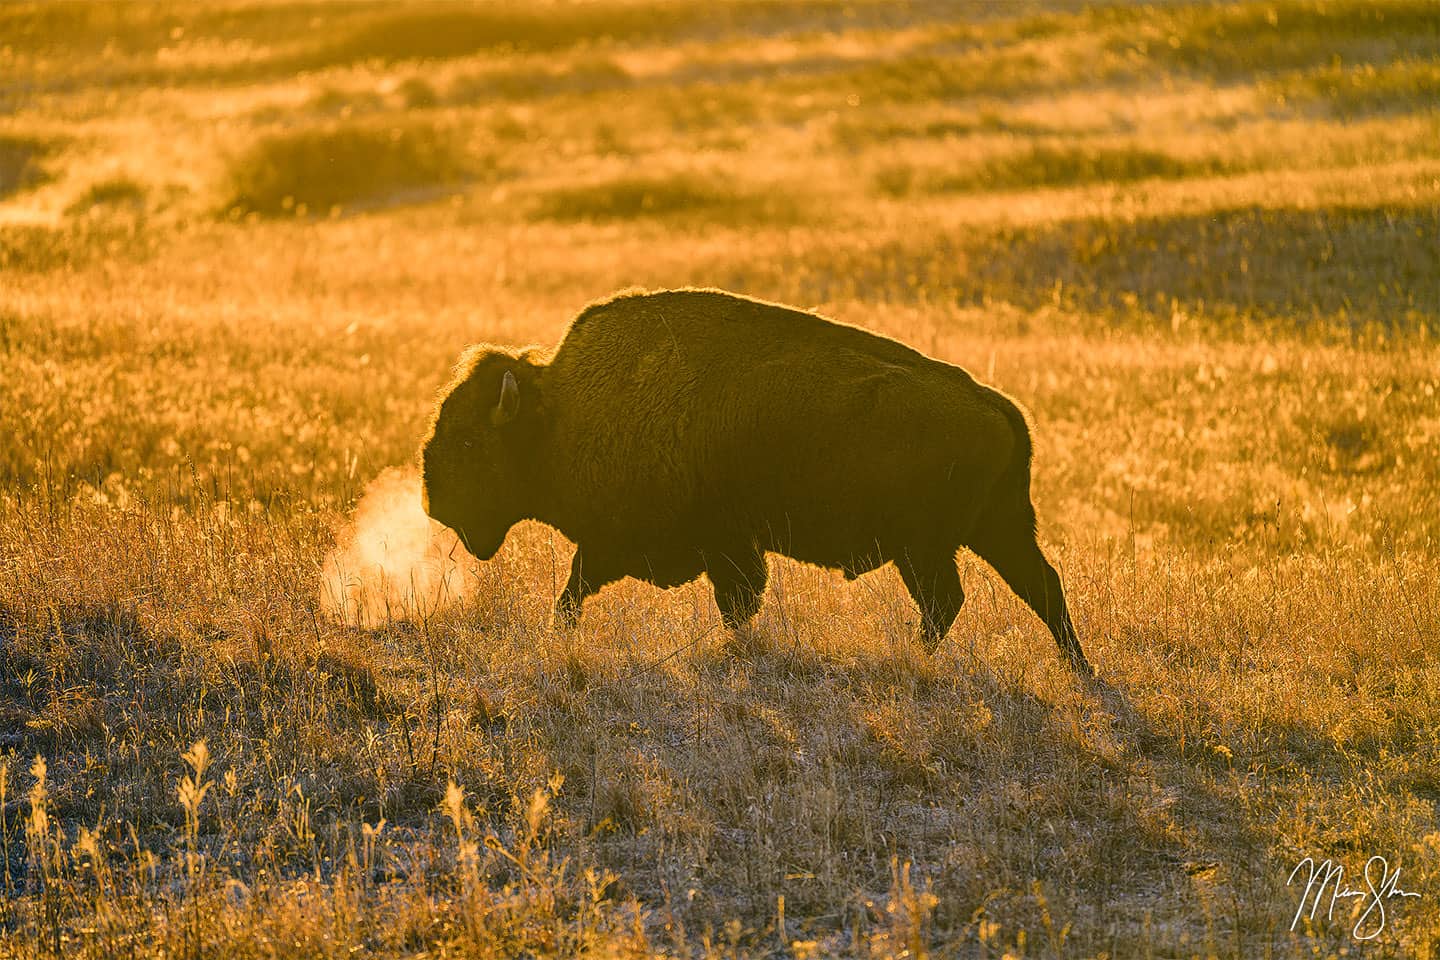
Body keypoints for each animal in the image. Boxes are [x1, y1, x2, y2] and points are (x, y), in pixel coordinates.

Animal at [420, 287, 1094, 676]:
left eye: (472, 441)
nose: (432, 499)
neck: (561, 411)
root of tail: (999, 406)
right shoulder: (693, 547)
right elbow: (580, 590)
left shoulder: (702, 544)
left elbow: (721, 600)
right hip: (992, 532)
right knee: (1040, 588)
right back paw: (1078, 671)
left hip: (927, 547)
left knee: (949, 601)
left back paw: (912, 658)